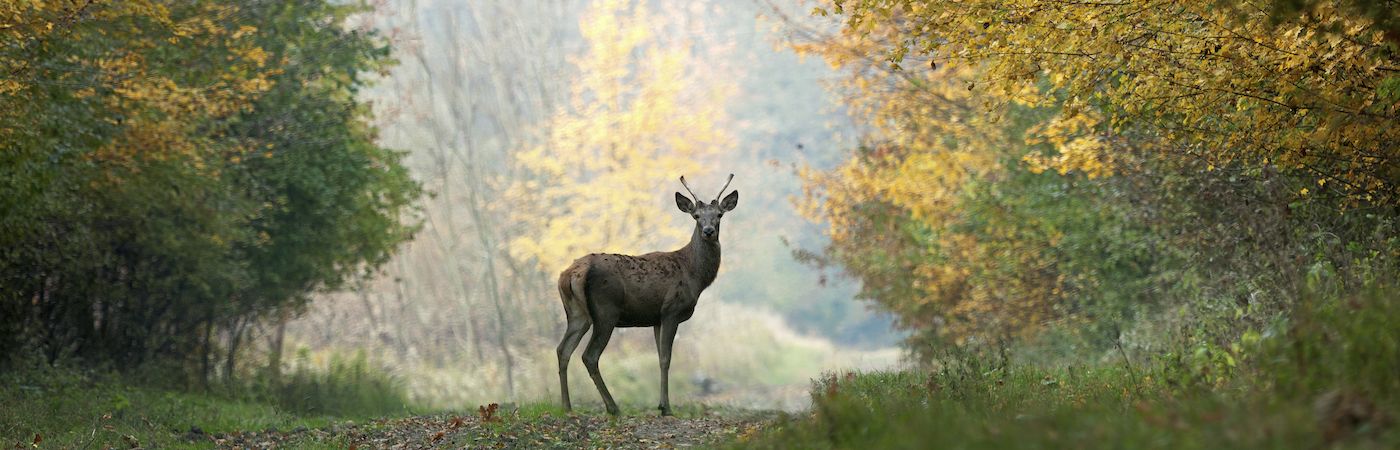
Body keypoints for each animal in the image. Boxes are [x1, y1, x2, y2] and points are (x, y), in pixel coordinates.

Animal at [555, 174, 738, 416]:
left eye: (719, 215)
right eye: (696, 216)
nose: (708, 231)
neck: (694, 275)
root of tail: (572, 273)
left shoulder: (656, 318)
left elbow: (660, 358)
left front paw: (661, 405)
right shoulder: (671, 310)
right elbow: (666, 359)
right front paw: (666, 408)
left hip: (577, 314)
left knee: (563, 350)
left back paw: (566, 406)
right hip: (606, 311)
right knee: (589, 355)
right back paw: (612, 407)